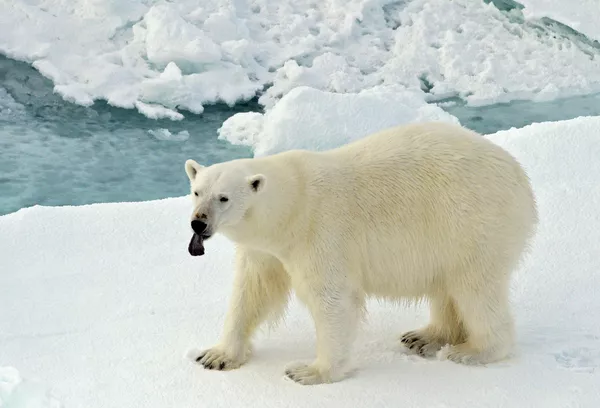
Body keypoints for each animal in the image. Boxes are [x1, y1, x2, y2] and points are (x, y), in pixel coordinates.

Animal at [184, 121, 540, 386]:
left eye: (224, 197)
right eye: (197, 191)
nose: (198, 223)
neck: (293, 206)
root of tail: (520, 177)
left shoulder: (321, 233)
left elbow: (333, 300)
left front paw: (310, 371)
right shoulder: (265, 249)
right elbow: (253, 292)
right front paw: (216, 356)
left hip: (473, 225)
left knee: (475, 289)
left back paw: (473, 351)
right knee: (446, 287)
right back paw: (424, 337)